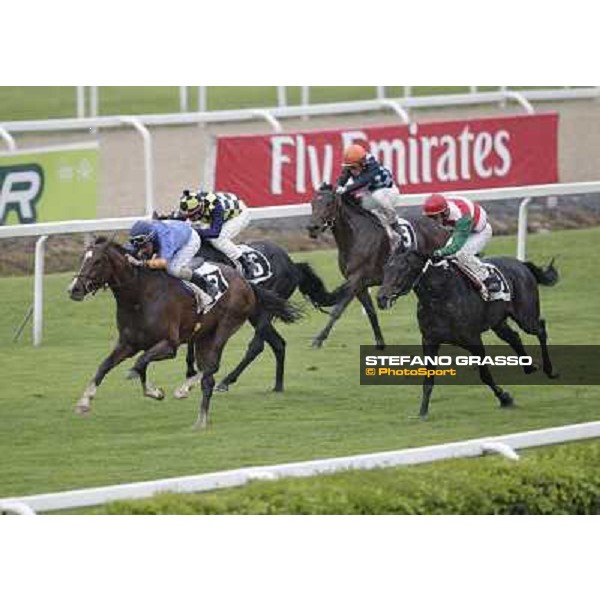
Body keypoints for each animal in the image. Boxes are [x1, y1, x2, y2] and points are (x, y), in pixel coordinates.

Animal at [67, 237, 300, 428]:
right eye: (82, 259)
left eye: (97, 261)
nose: (74, 289)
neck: (140, 297)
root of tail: (246, 282)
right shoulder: (128, 343)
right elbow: (106, 366)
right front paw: (84, 402)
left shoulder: (169, 345)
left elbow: (140, 363)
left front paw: (153, 391)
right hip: (205, 335)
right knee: (211, 368)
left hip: (226, 327)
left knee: (214, 367)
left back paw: (195, 403)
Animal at [308, 185, 448, 350]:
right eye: (312, 204)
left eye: (329, 203)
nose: (312, 227)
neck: (355, 236)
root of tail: (441, 226)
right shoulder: (360, 285)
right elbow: (370, 311)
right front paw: (380, 342)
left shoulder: (357, 279)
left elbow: (338, 309)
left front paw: (319, 339)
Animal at [378, 216, 560, 418]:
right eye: (386, 268)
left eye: (405, 268)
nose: (381, 298)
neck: (441, 296)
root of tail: (521, 264)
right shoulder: (430, 340)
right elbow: (428, 380)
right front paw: (422, 412)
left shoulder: (473, 339)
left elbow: (484, 374)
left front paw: (505, 398)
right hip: (498, 321)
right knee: (514, 337)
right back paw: (529, 367)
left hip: (525, 316)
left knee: (540, 328)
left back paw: (550, 370)